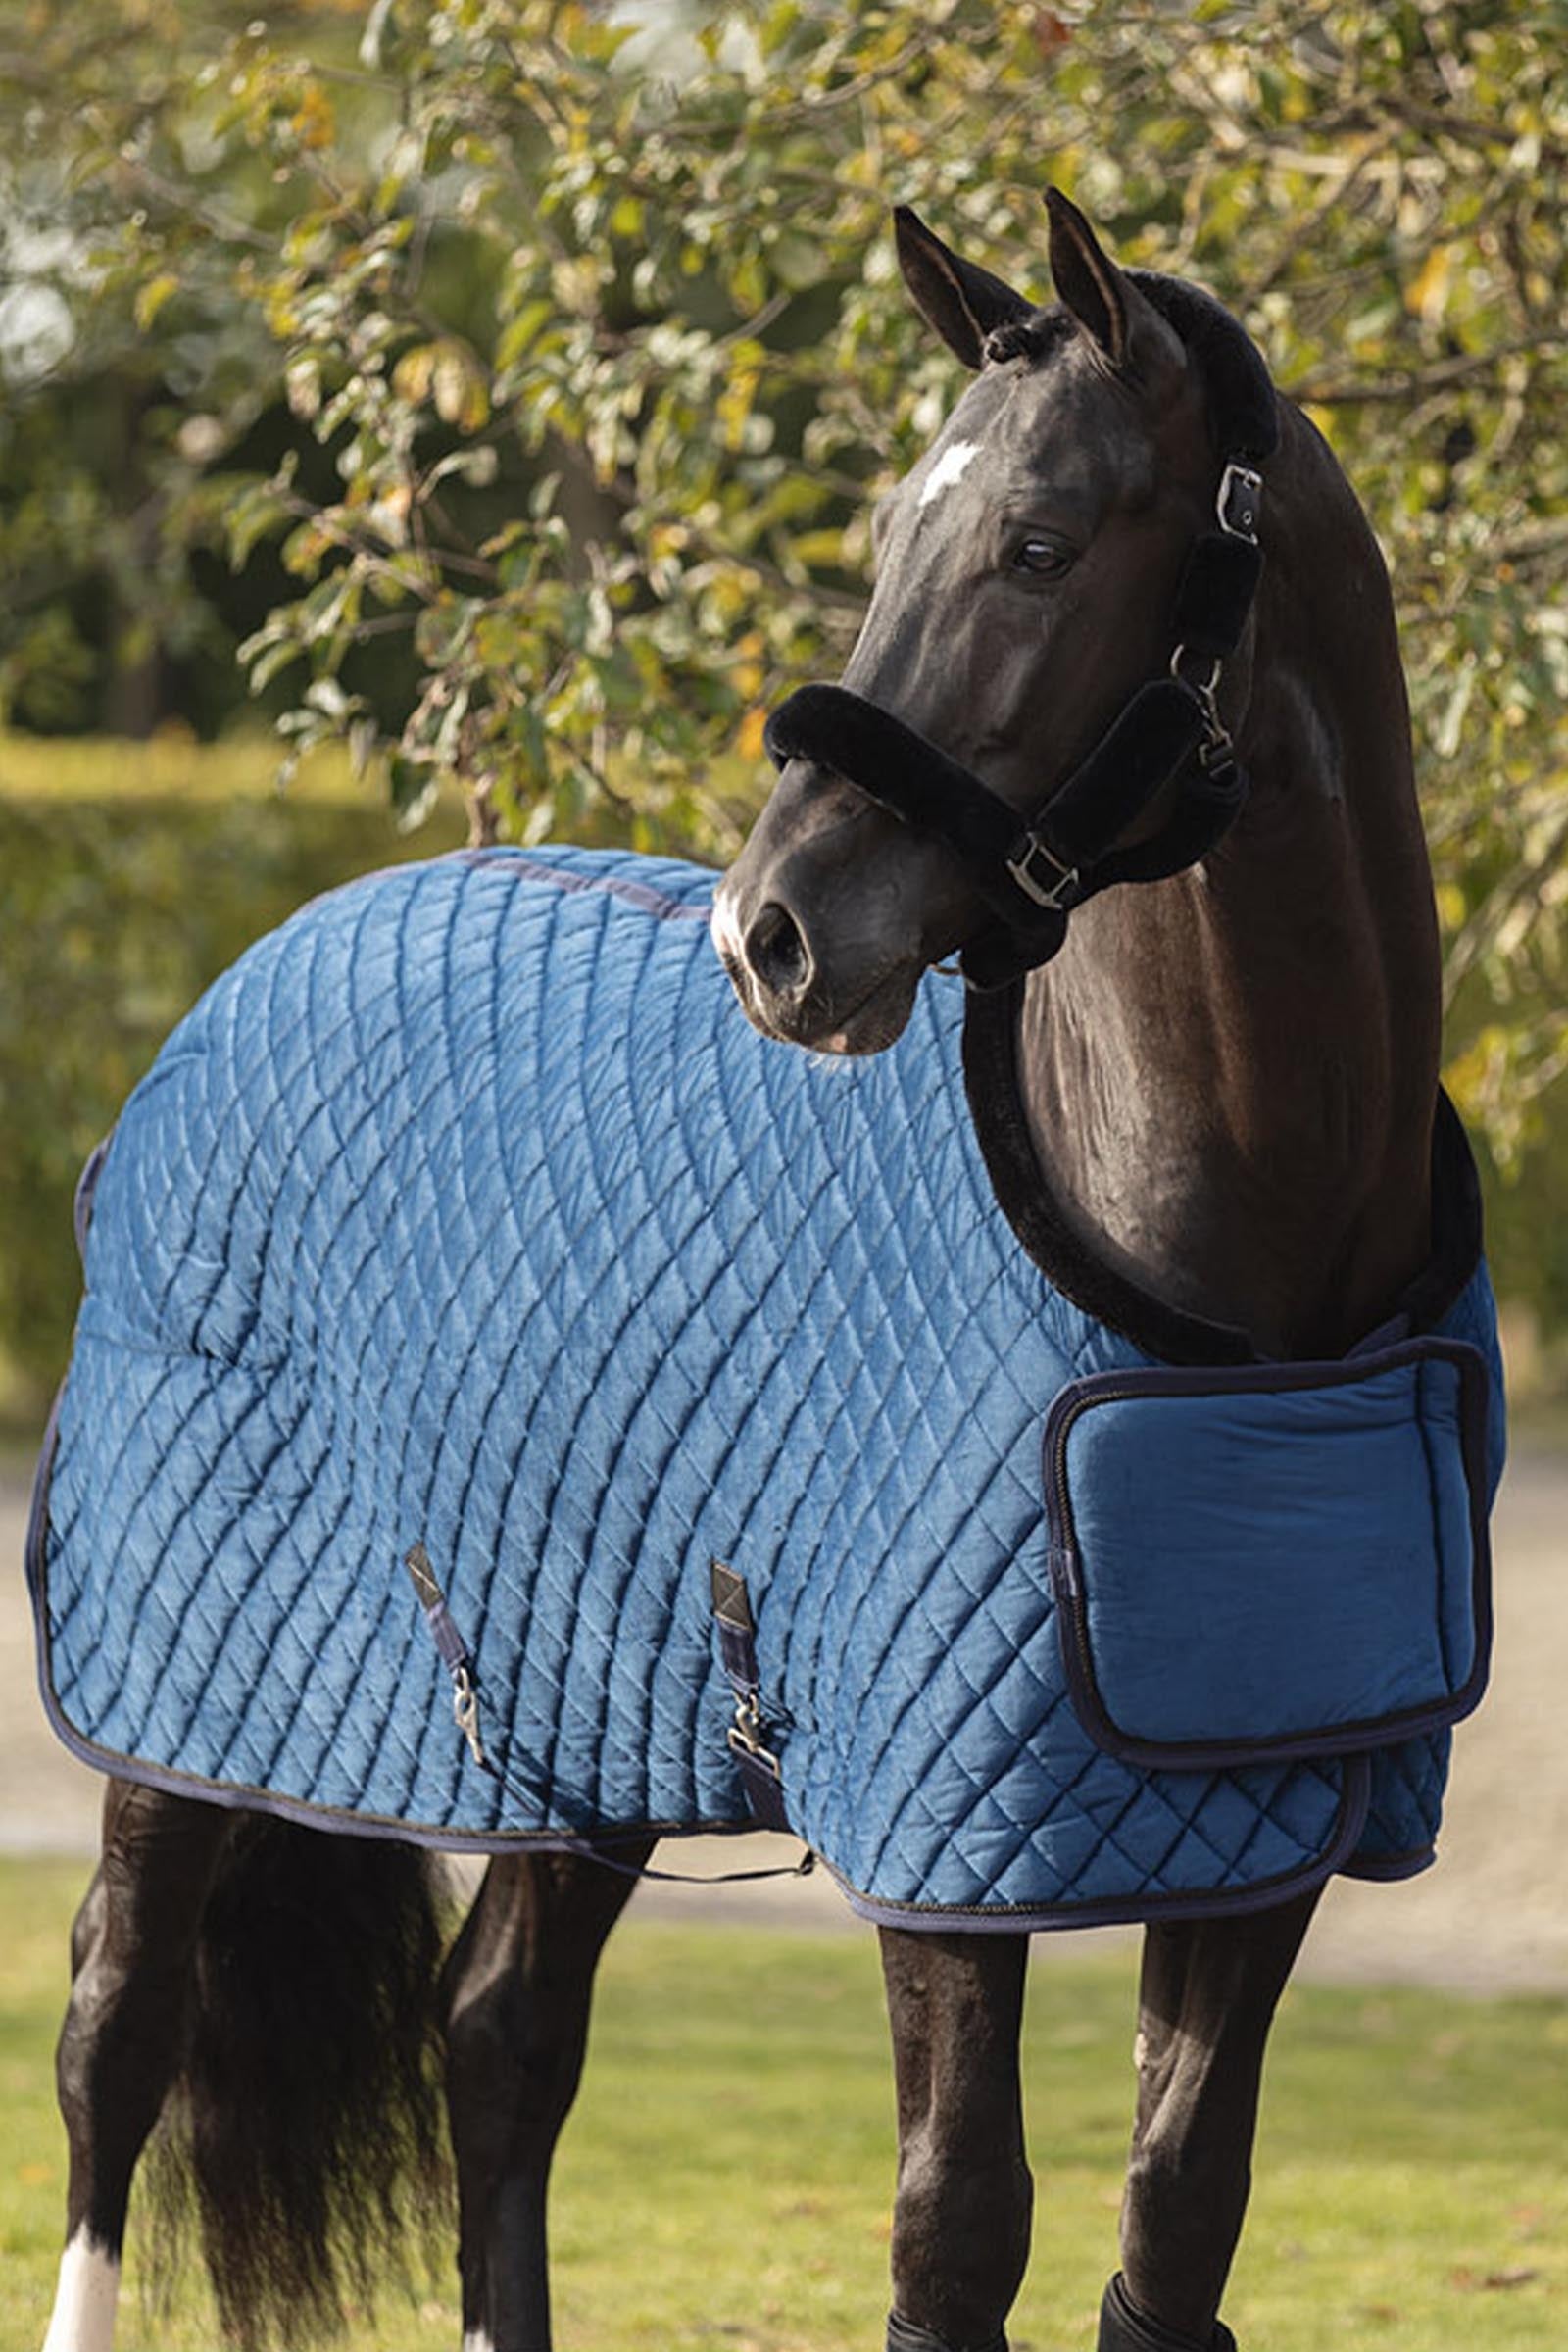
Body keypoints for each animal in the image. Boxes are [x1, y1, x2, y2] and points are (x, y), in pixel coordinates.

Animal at [33, 189, 1499, 2352]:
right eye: (890, 536)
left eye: (1040, 544)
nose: (774, 935)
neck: (1235, 1257)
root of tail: (263, 965)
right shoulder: (945, 1833)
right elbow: (955, 2229)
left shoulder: (1263, 1823)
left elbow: (1174, 2225)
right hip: (190, 1677)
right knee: (116, 2029)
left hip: (565, 1702)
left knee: (497, 2037)